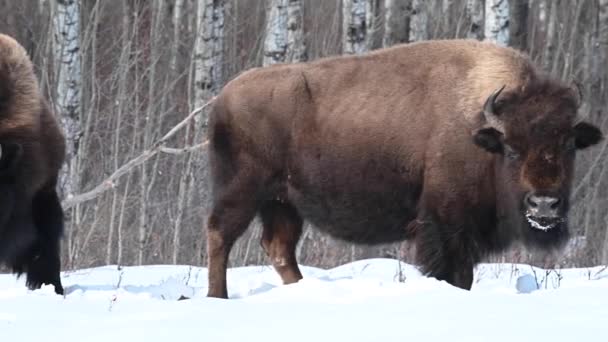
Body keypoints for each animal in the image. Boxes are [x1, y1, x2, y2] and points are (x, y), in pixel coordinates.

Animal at [205, 38, 604, 298]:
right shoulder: (446, 226)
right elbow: (454, 274)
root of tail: (223, 98)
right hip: (242, 191)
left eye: (569, 145)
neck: (479, 130)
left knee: (279, 247)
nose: (544, 205)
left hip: (283, 202)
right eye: (511, 149)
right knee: (220, 235)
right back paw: (217, 296)